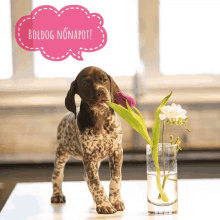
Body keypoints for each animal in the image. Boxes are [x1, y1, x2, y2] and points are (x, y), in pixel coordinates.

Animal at [50, 66, 124, 214]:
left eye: (104, 79)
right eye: (85, 83)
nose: (101, 92)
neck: (100, 118)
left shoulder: (116, 151)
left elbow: (115, 178)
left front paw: (115, 200)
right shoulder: (89, 157)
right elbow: (96, 182)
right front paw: (104, 204)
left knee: (87, 177)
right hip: (62, 153)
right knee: (57, 175)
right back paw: (57, 195)